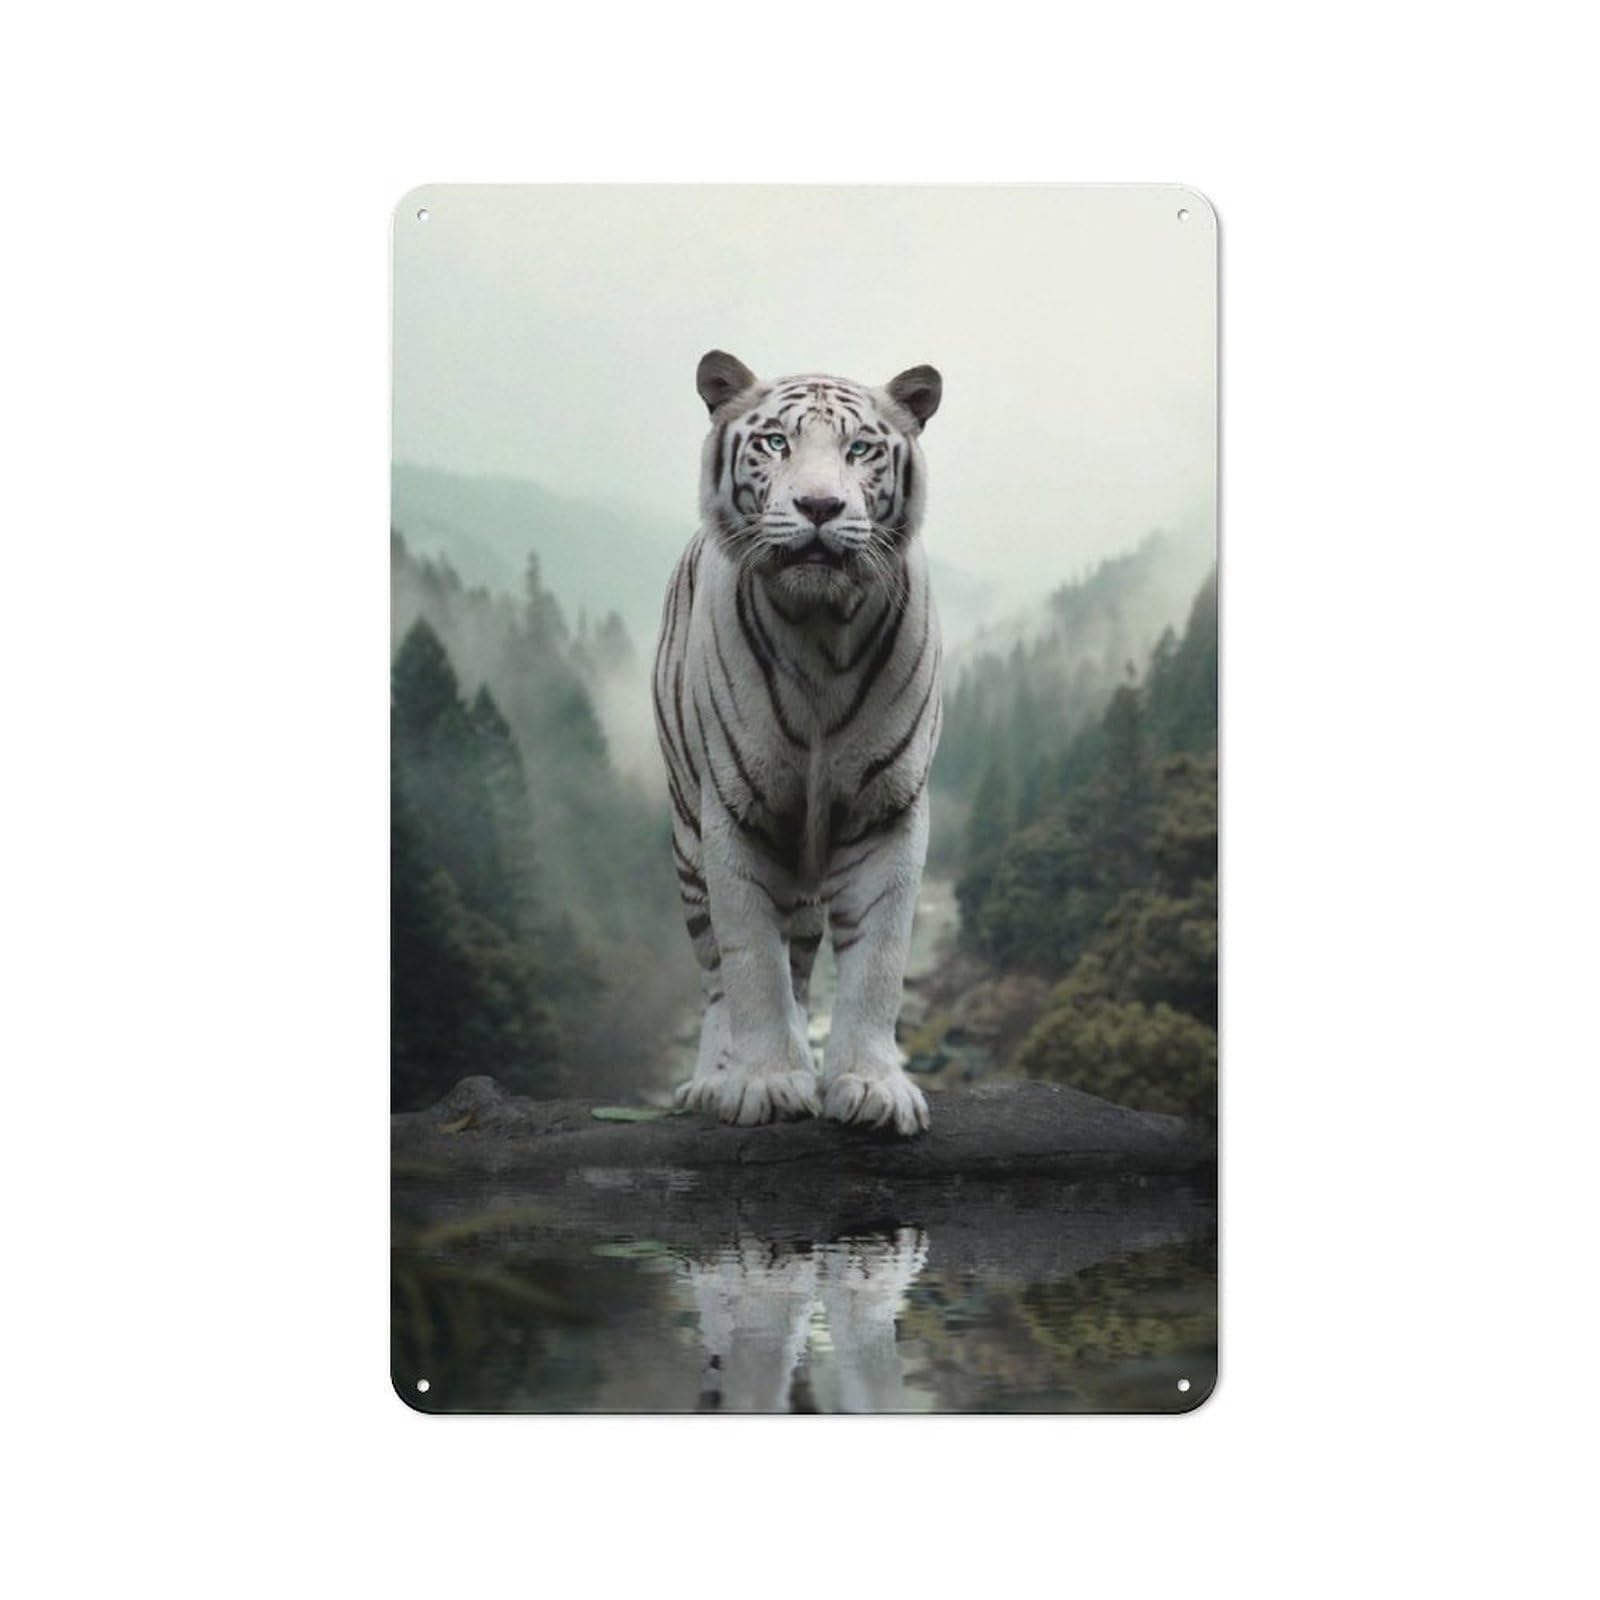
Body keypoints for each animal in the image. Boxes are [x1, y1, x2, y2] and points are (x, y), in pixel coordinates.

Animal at [652, 350, 943, 1136]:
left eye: (861, 449)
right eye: (776, 442)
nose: (819, 507)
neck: (820, 630)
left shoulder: (887, 809)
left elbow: (878, 960)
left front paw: (871, 1086)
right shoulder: (735, 812)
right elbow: (751, 962)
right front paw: (767, 1082)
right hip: (688, 843)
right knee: (717, 974)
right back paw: (711, 1081)